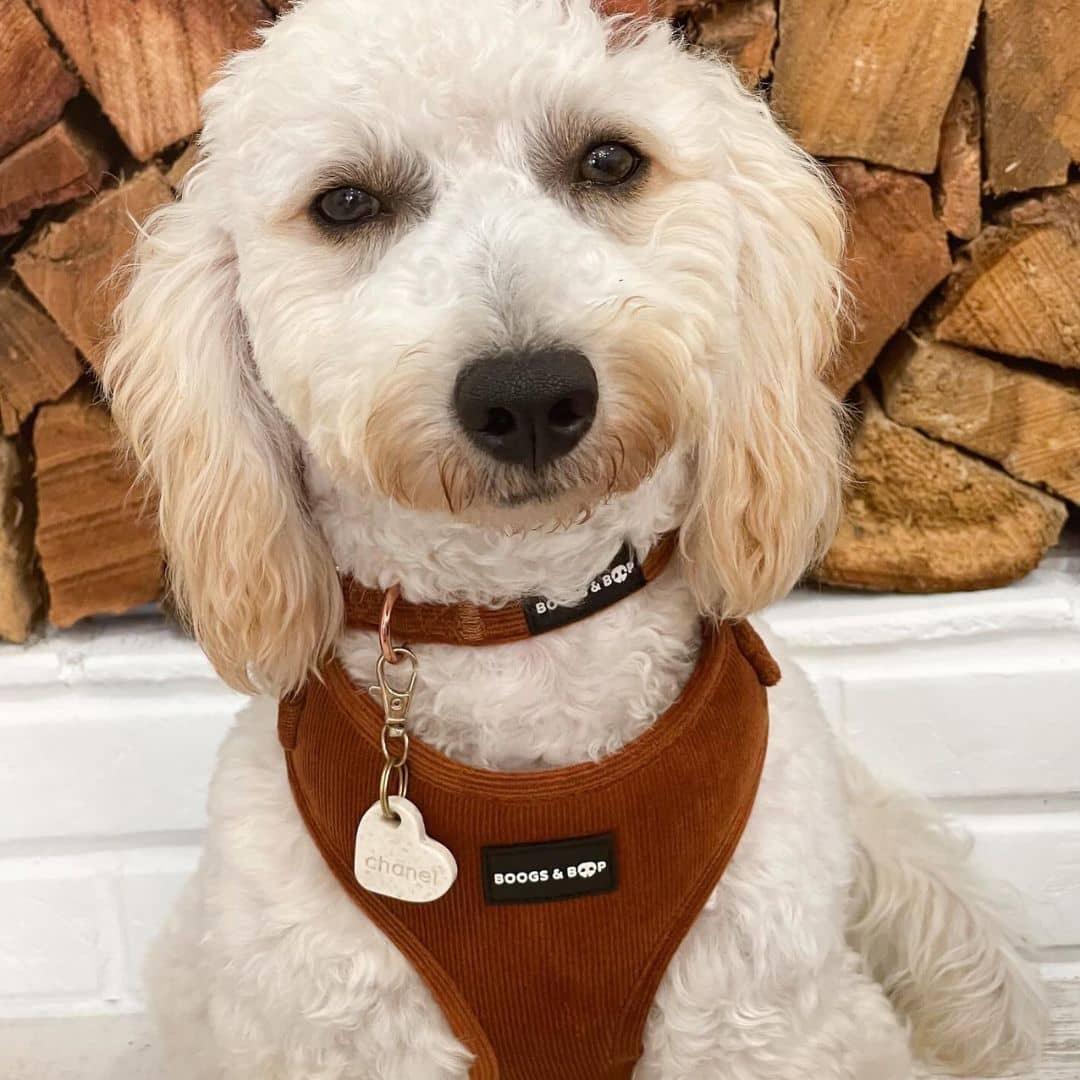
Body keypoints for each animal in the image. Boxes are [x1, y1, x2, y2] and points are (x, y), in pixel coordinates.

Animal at [101, 2, 1045, 1080]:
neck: (528, 632)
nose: (528, 394)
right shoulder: (350, 1035)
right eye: (343, 203)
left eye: (608, 159)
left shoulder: (756, 1019)